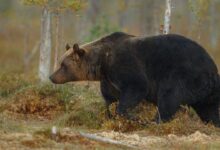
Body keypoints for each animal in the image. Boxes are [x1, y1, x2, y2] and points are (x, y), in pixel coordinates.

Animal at [49, 31, 220, 126]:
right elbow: (109, 98)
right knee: (209, 109)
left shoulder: (125, 65)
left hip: (183, 75)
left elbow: (136, 88)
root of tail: (213, 69)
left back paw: (154, 121)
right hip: (205, 91)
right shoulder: (109, 80)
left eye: (62, 65)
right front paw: (109, 114)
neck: (102, 62)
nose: (51, 76)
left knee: (169, 97)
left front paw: (132, 116)